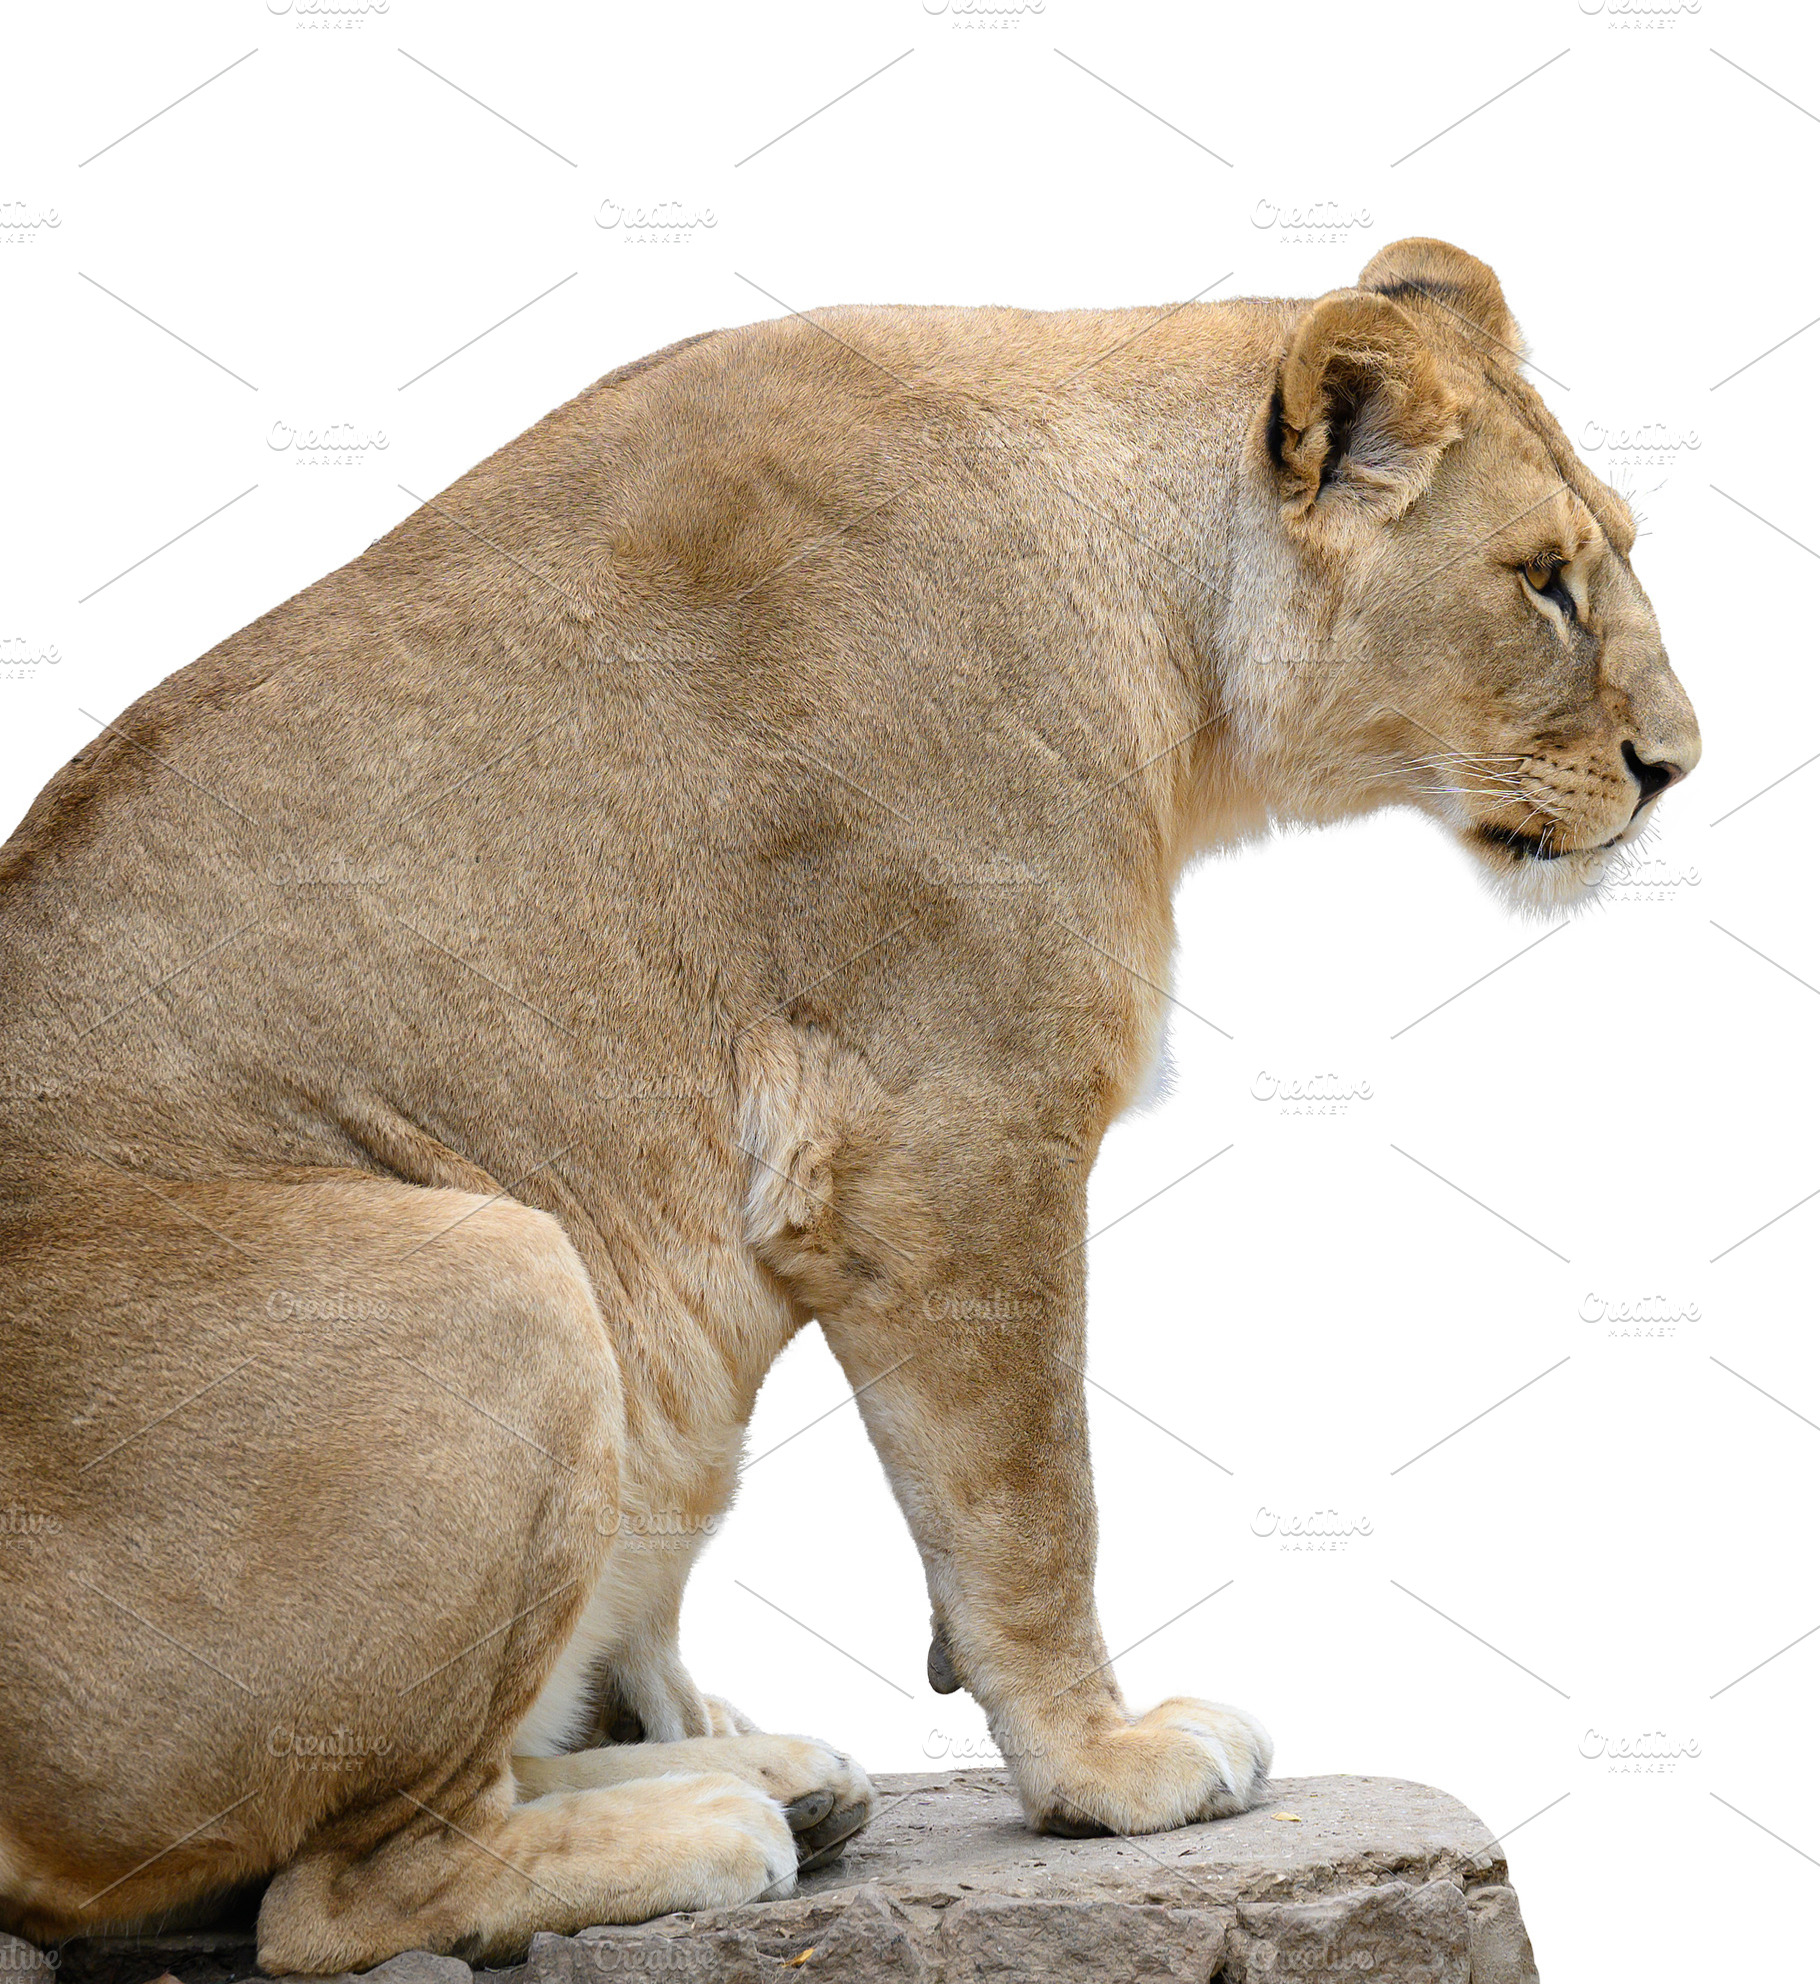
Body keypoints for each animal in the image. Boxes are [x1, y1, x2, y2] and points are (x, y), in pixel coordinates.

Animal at [0, 238, 1697, 1972]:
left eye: (1614, 558)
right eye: (1544, 580)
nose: (1677, 764)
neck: (1169, 646)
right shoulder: (953, 1133)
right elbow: (1030, 1502)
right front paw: (1106, 1767)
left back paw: (763, 1767)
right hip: (503, 1266)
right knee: (331, 1896)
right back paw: (706, 1826)